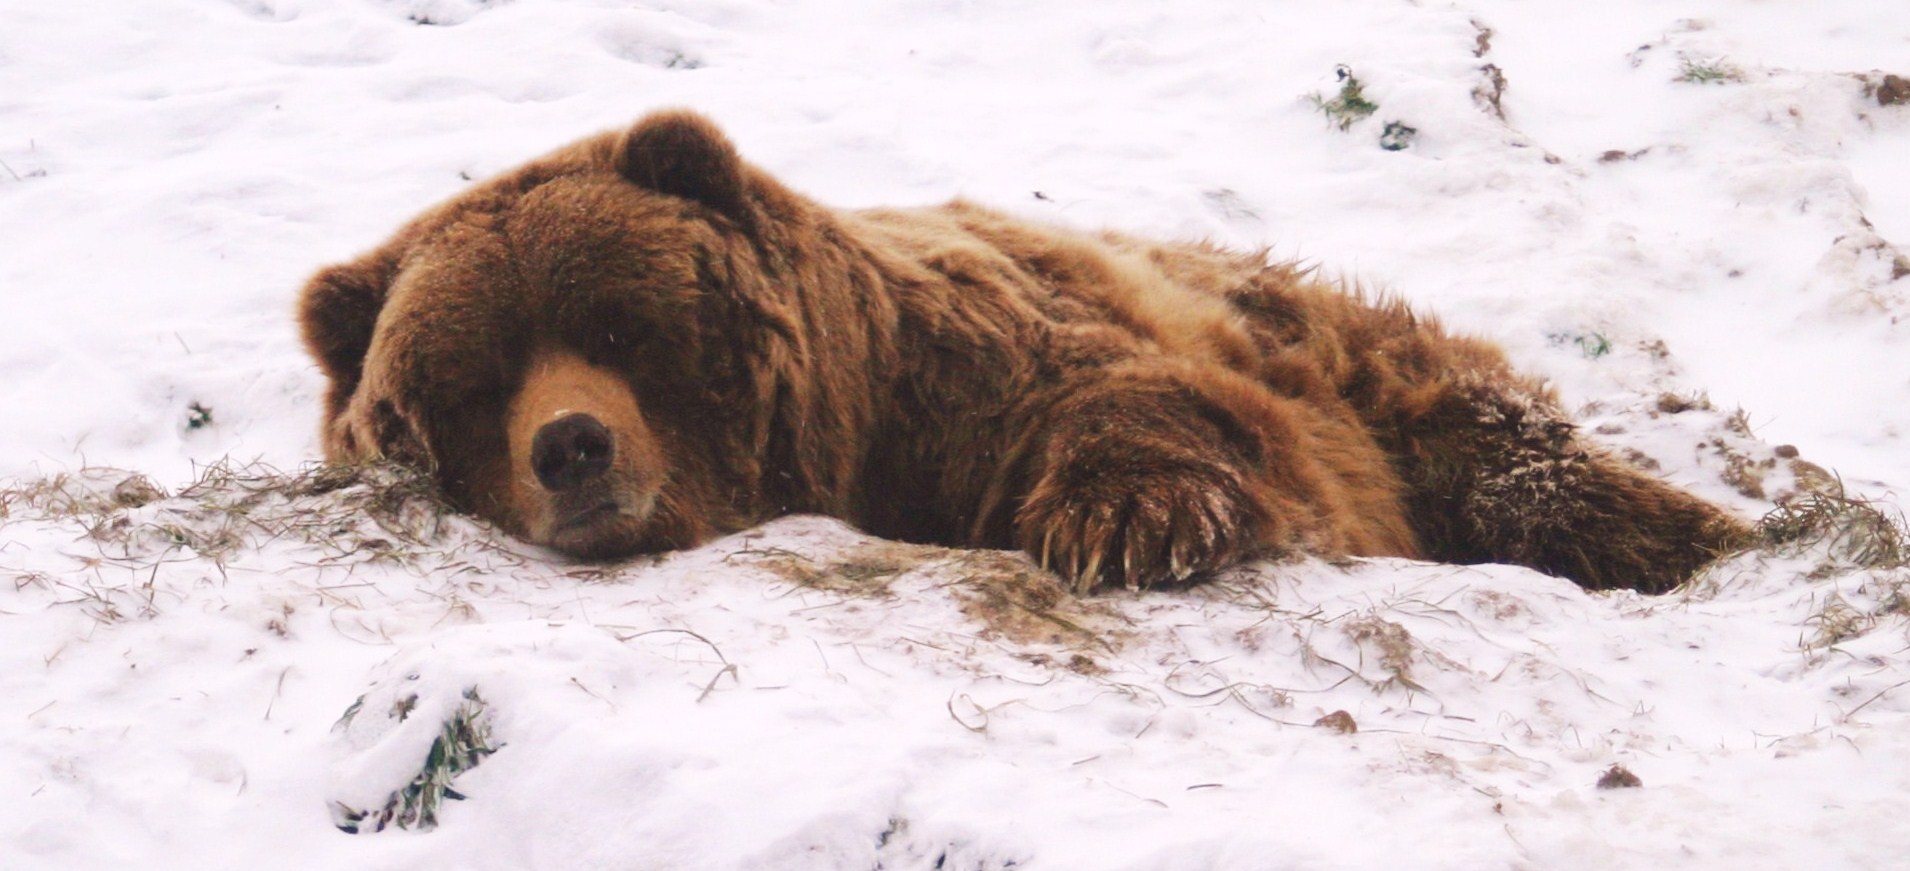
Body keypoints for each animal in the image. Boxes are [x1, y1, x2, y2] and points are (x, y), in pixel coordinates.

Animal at [297, 108, 1749, 595]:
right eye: (467, 383)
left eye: (617, 322)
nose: (572, 444)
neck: (841, 446)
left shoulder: (957, 371)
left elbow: (1128, 396)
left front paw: (1126, 520)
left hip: (1359, 357)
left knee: (1516, 461)